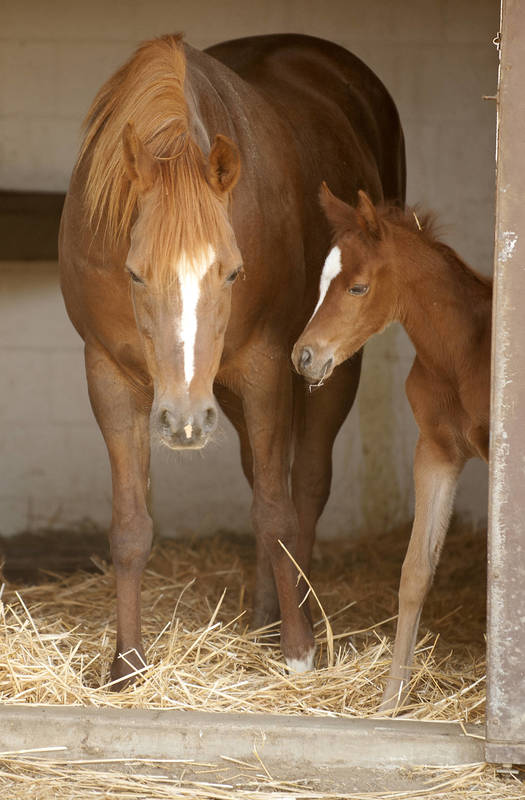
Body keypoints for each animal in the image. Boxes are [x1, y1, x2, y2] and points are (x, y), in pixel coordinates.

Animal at [58, 34, 406, 684]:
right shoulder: (108, 375)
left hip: (328, 368)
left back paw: (297, 619)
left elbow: (275, 514)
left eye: (233, 272)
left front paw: (299, 653)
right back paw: (267, 617)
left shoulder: (265, 367)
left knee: (304, 489)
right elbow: (131, 526)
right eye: (134, 273)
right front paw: (127, 665)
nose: (184, 421)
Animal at [290, 188, 492, 712]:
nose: (303, 357)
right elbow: (414, 572)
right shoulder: (436, 453)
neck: (459, 355)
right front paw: (390, 701)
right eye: (321, 281)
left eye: (358, 288)